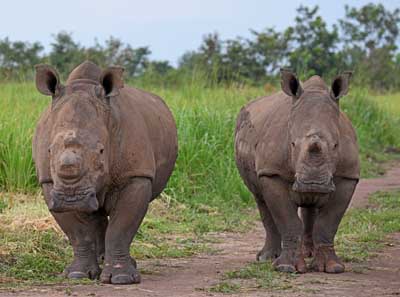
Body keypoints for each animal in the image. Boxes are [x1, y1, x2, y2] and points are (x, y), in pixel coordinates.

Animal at [33, 61, 177, 284]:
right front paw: (77, 275)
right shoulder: (48, 182)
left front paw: (122, 279)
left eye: (101, 151)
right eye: (49, 151)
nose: (71, 199)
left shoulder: (135, 175)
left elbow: (121, 228)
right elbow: (78, 233)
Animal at [234, 69, 360, 272]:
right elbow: (289, 221)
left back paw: (308, 254)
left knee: (310, 207)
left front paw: (333, 268)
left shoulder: (348, 175)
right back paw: (266, 258)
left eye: (336, 145)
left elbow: (328, 223)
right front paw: (285, 267)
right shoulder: (272, 173)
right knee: (260, 199)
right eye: (292, 144)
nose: (313, 183)